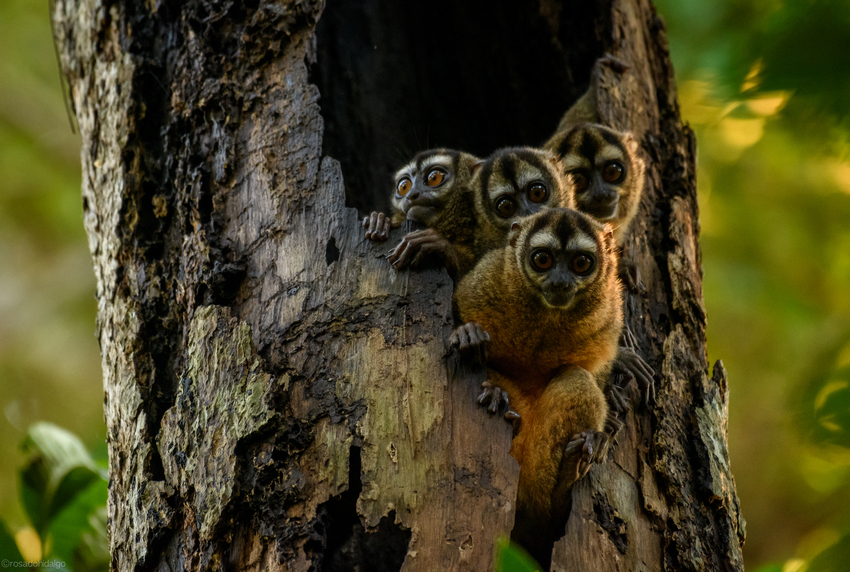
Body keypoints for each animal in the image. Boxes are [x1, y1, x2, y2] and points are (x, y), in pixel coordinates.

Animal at [449, 208, 622, 565]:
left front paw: (604, 435)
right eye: (542, 259)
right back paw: (503, 405)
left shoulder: (609, 312)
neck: (546, 314)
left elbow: (596, 373)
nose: (560, 282)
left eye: (581, 263)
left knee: (576, 380)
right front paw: (468, 336)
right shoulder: (488, 280)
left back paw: (568, 475)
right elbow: (460, 304)